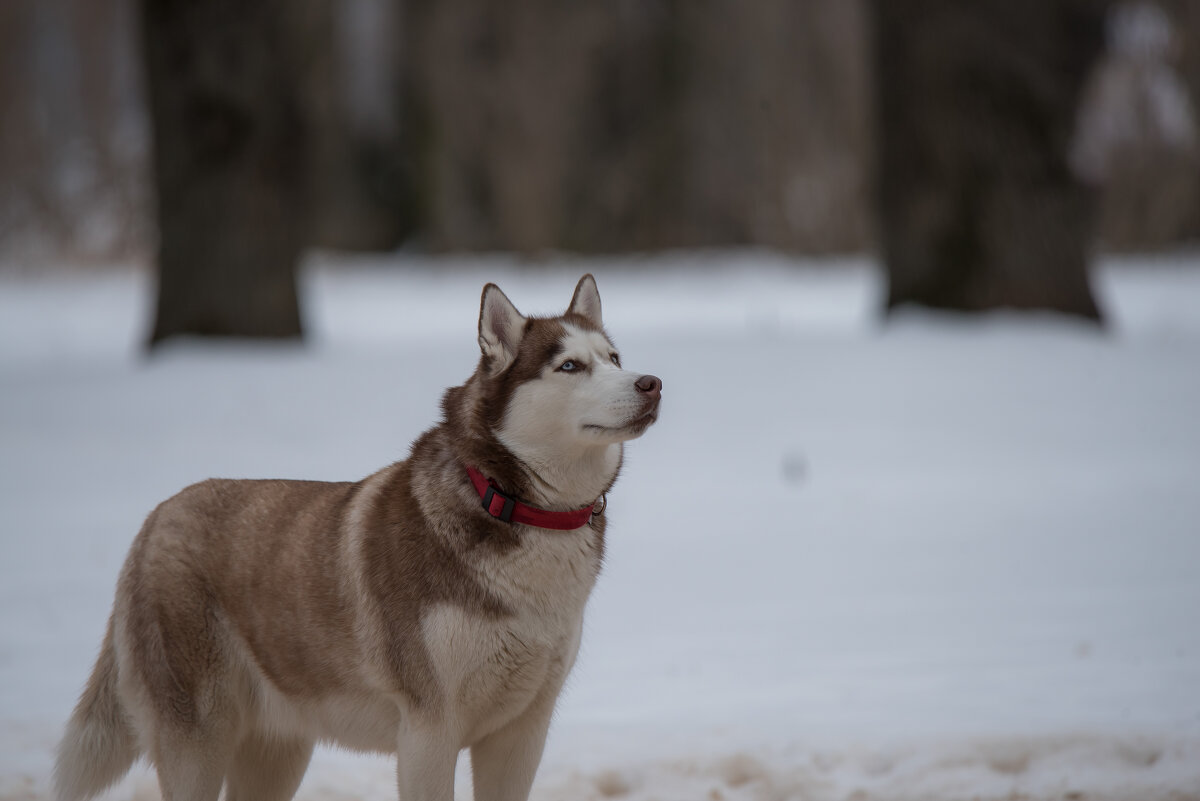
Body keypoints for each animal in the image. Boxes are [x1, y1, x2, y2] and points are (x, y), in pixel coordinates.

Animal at [56, 276, 662, 801]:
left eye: (614, 358)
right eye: (570, 366)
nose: (651, 383)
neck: (522, 510)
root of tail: (156, 517)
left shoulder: (521, 734)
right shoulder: (428, 733)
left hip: (278, 752)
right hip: (196, 745)